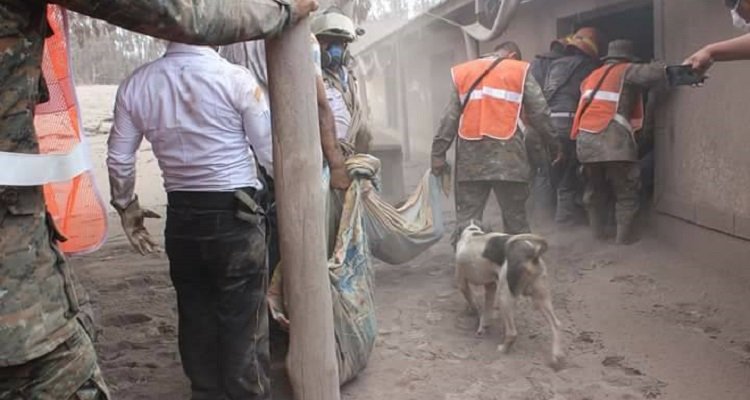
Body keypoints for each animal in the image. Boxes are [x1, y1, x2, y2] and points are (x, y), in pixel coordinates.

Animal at [458, 222, 564, 366]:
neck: (472, 232)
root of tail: (532, 253)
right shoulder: (490, 286)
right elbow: (486, 310)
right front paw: (483, 326)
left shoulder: (462, 282)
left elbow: (473, 302)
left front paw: (474, 314)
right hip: (541, 298)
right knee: (556, 324)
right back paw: (556, 357)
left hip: (504, 297)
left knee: (512, 333)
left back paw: (503, 349)